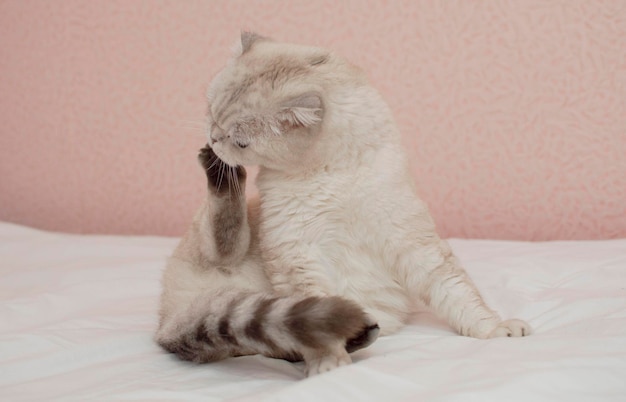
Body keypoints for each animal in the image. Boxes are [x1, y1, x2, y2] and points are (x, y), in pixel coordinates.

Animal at [155, 31, 528, 376]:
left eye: (241, 142)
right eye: (211, 113)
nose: (213, 138)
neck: (336, 176)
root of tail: (168, 318)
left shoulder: (414, 245)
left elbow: (459, 295)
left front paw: (496, 330)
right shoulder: (296, 254)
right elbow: (314, 319)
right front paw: (329, 366)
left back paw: (361, 332)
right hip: (226, 254)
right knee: (226, 249)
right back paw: (217, 170)